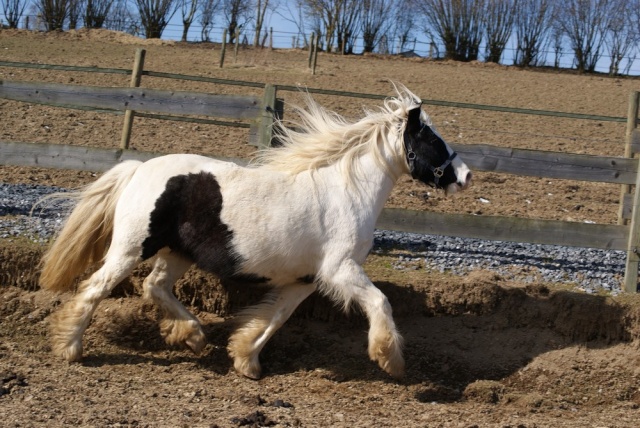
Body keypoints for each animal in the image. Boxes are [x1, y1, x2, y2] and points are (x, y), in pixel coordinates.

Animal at [40, 85, 470, 380]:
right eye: (431, 139)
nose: (464, 176)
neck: (346, 192)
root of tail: (138, 169)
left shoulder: (305, 280)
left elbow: (275, 319)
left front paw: (246, 361)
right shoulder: (341, 270)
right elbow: (381, 302)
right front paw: (389, 358)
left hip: (176, 253)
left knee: (155, 286)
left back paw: (194, 336)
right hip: (131, 248)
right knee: (96, 288)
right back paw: (69, 347)